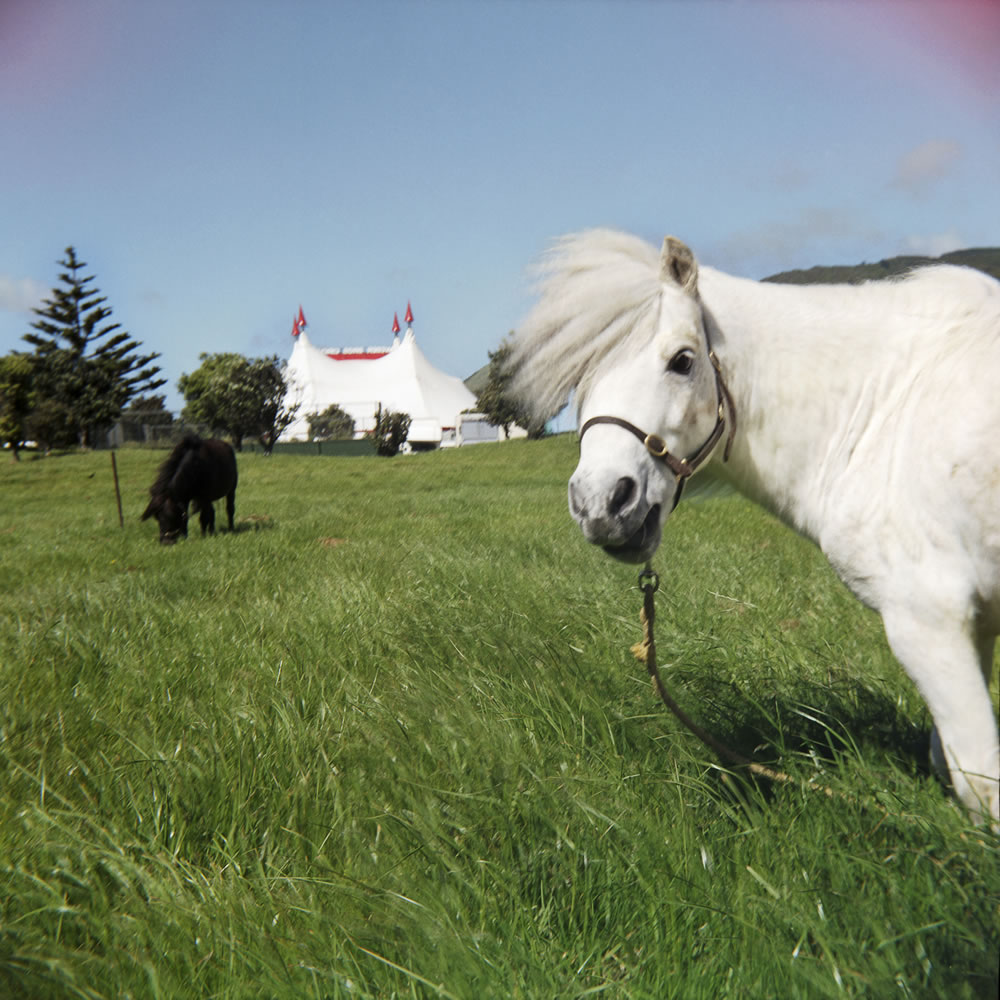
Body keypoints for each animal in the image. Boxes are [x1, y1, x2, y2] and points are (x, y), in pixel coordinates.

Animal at [512, 229, 1000, 820]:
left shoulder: (928, 619)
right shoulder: (974, 624)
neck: (885, 410)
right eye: (580, 381)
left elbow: (980, 784)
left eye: (682, 360)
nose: (601, 504)